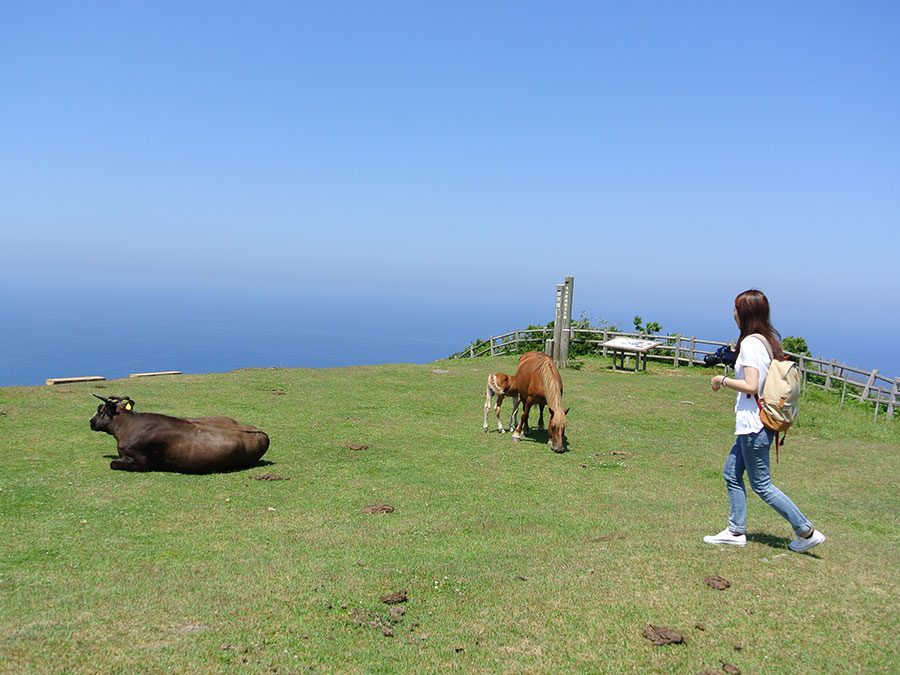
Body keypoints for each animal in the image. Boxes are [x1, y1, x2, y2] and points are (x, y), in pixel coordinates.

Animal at [89, 394, 268, 472]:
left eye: (100, 410)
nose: (90, 421)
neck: (128, 425)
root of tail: (260, 432)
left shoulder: (139, 461)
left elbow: (113, 463)